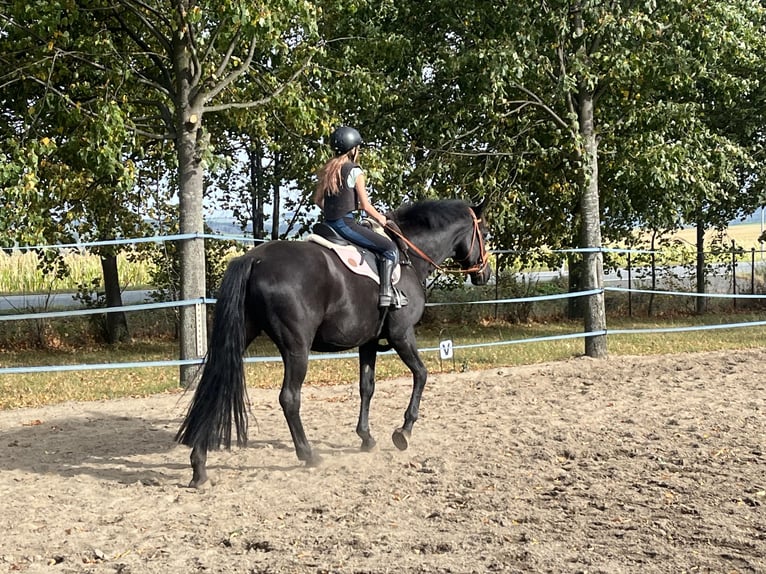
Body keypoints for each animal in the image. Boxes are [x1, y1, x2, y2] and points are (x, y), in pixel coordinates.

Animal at [176, 199, 492, 490]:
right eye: (486, 233)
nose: (484, 274)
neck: (407, 256)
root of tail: (255, 259)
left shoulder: (368, 342)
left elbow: (367, 387)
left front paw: (366, 437)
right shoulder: (402, 335)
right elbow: (422, 375)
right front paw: (404, 432)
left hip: (244, 336)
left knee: (214, 387)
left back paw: (199, 466)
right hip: (297, 348)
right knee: (289, 398)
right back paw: (308, 455)